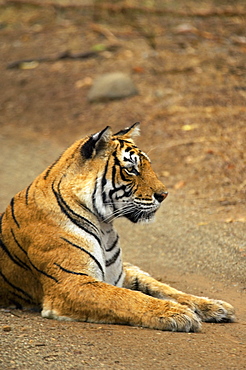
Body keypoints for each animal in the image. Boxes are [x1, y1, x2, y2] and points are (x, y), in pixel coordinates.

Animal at [0, 122, 234, 332]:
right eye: (131, 169)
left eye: (148, 165)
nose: (164, 195)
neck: (105, 225)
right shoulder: (71, 282)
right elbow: (127, 298)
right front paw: (177, 313)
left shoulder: (117, 276)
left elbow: (156, 290)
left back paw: (217, 306)